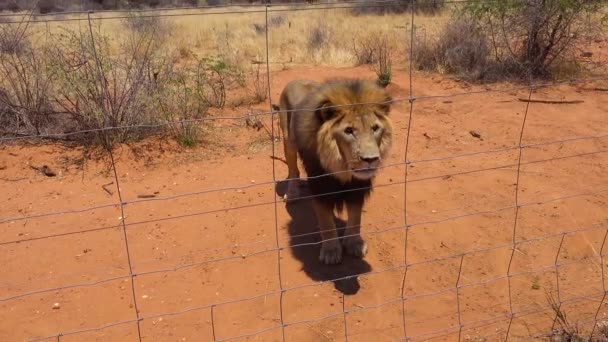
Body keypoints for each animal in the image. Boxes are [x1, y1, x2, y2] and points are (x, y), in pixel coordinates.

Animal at [274, 78, 394, 264]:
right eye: (349, 131)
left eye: (375, 128)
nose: (371, 159)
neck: (342, 168)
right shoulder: (320, 184)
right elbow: (326, 221)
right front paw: (331, 250)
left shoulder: (357, 187)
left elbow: (355, 216)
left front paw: (354, 243)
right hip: (289, 142)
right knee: (293, 170)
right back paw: (293, 193)